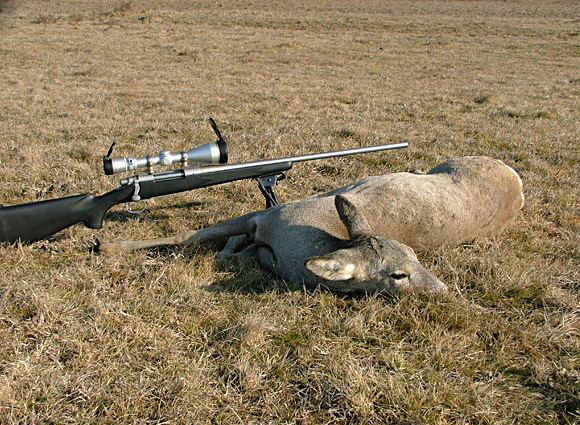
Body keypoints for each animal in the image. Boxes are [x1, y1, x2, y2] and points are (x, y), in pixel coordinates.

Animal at [97, 157, 524, 294]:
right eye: (398, 274)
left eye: (416, 255)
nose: (441, 288)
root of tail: (515, 179)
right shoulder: (264, 216)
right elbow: (190, 233)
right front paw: (106, 245)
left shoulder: (266, 230)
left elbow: (227, 248)